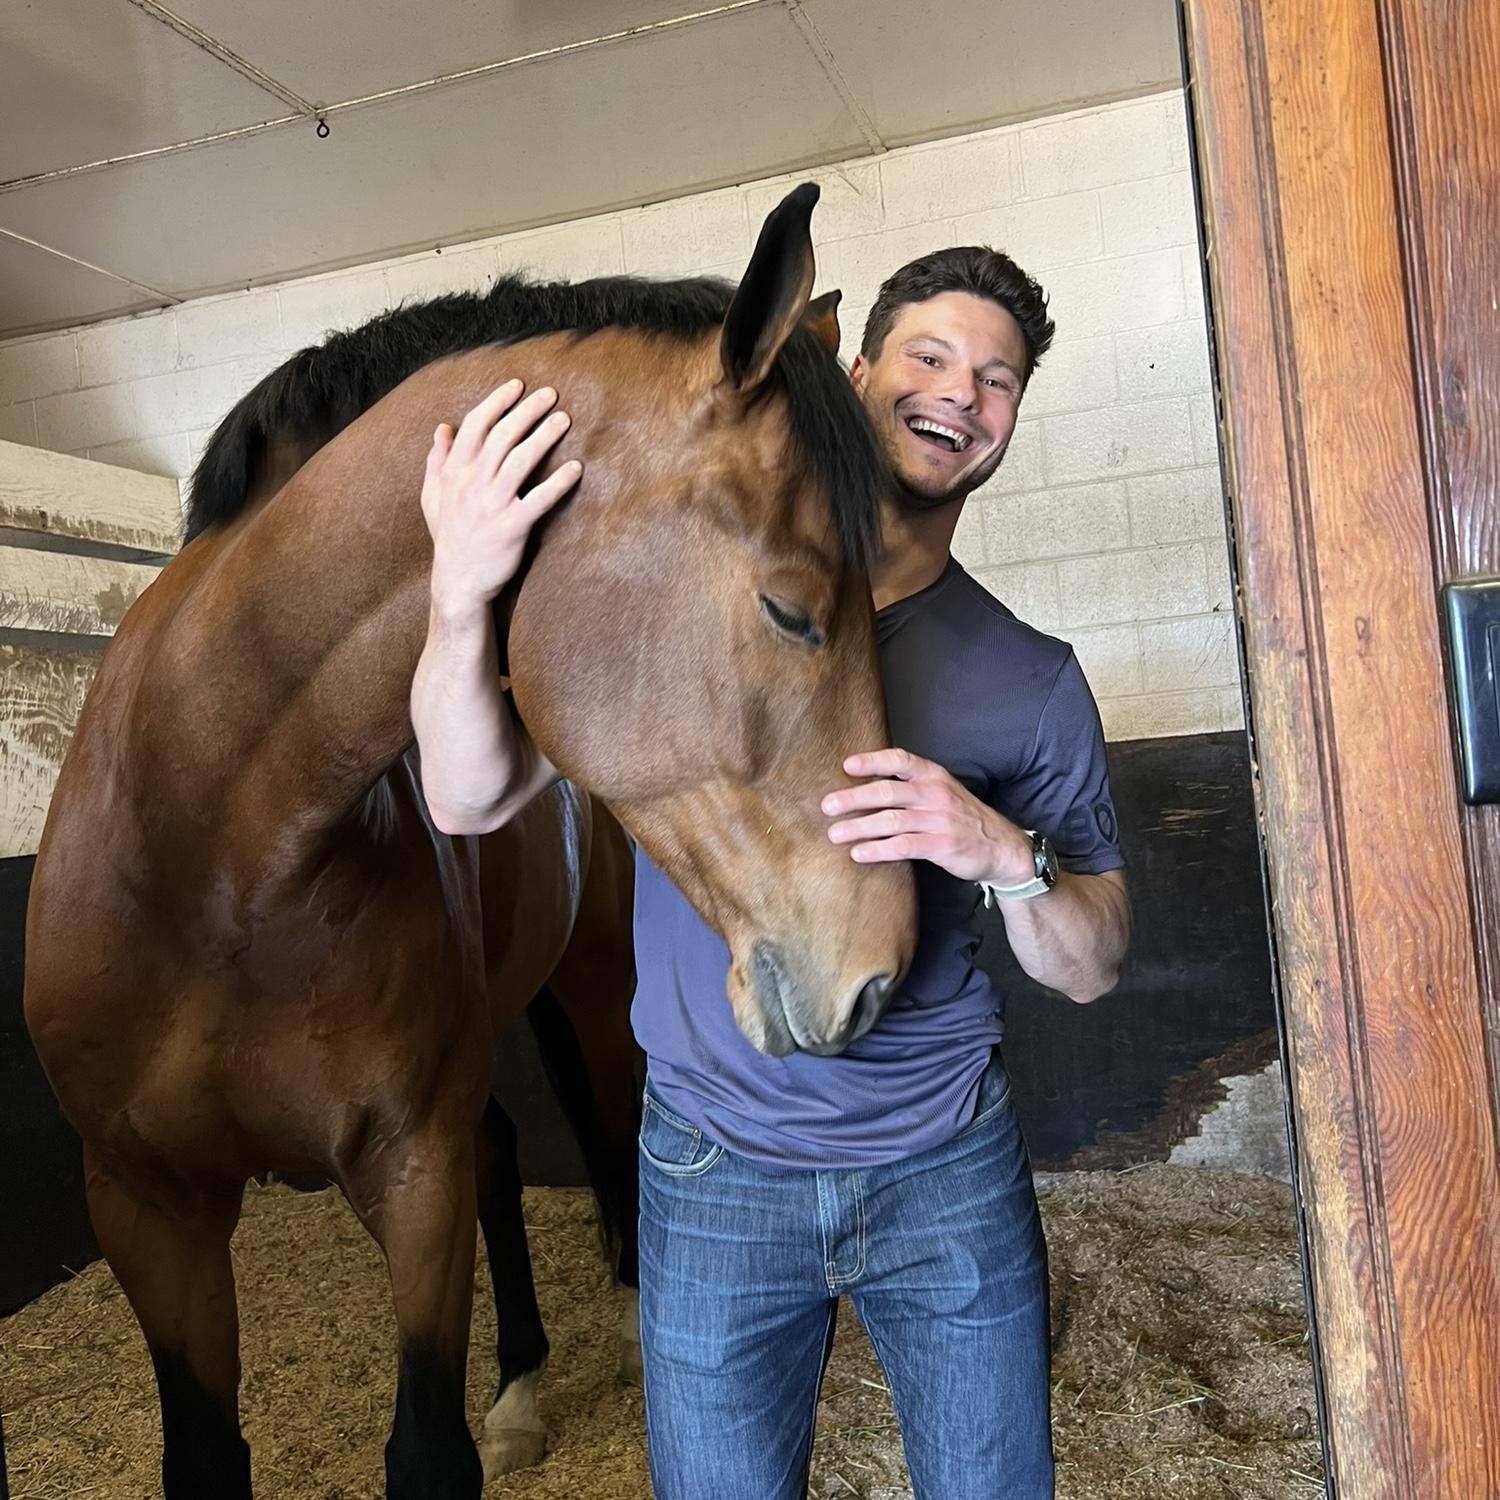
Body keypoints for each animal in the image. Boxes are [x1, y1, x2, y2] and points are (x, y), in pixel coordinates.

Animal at [23, 182, 917, 1499]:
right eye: (792, 608)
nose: (879, 973)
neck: (216, 841)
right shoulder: (144, 1205)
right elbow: (207, 1456)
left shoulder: (412, 1172)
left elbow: (429, 1450)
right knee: (503, 1146)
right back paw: (524, 1381)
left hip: (581, 997)